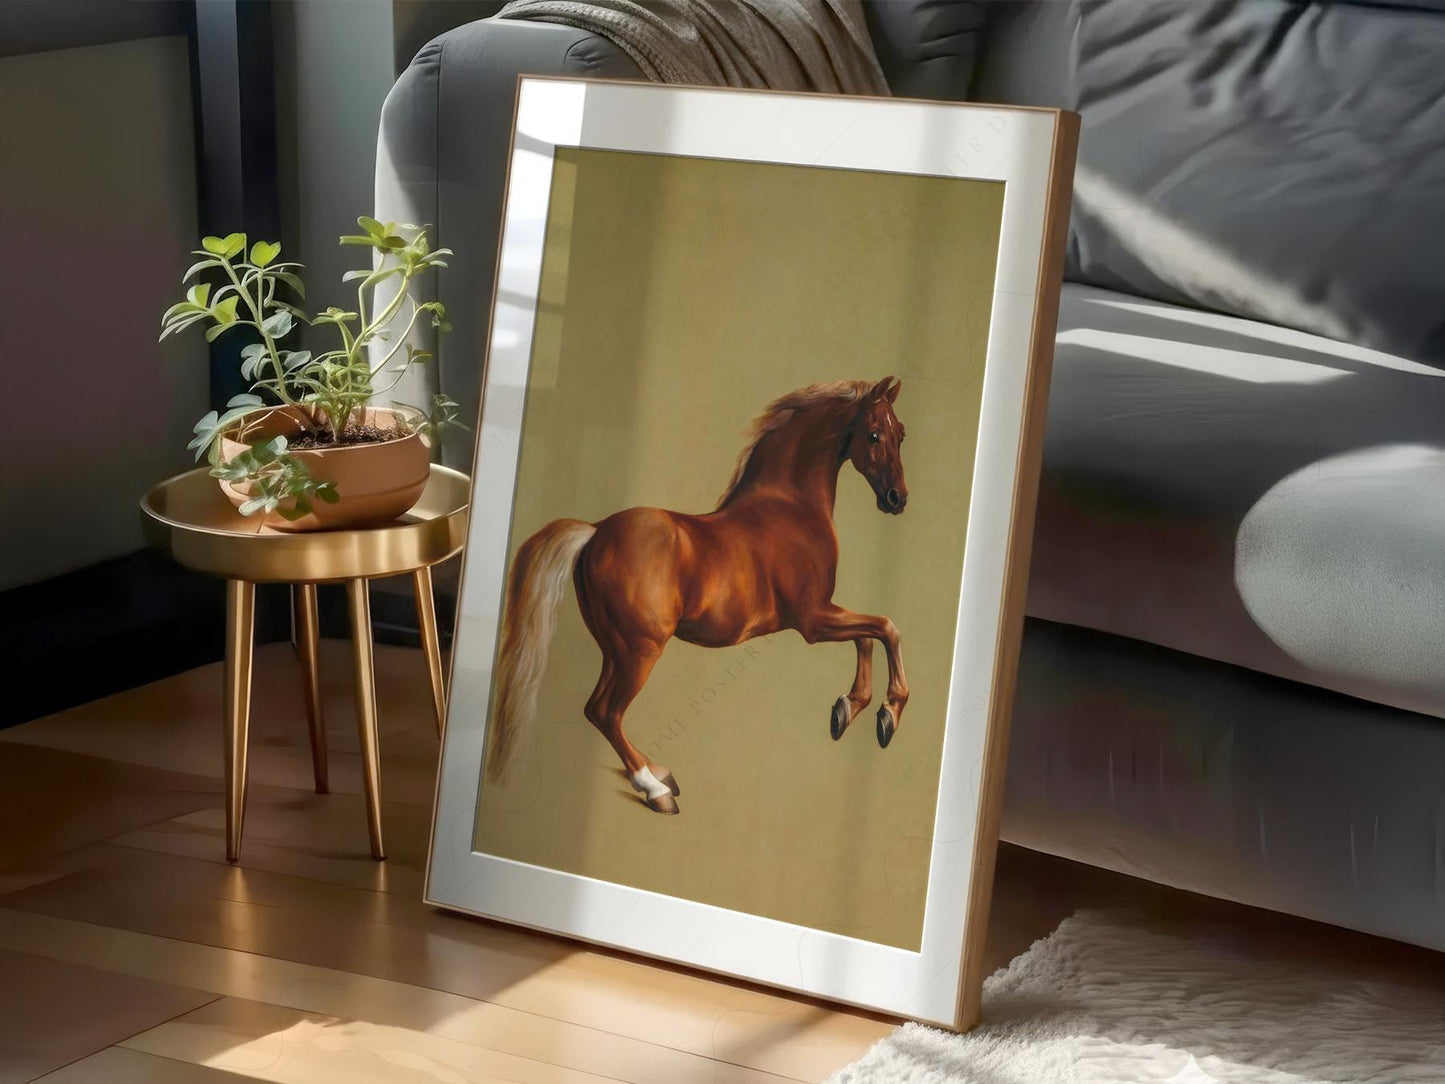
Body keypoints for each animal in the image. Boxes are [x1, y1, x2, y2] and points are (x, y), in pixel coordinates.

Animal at [485, 376, 910, 814]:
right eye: (873, 435)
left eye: (901, 434)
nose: (897, 499)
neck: (790, 508)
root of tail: (596, 531)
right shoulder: (813, 619)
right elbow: (886, 628)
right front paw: (886, 714)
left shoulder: (824, 615)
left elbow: (869, 636)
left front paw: (847, 709)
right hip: (641, 651)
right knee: (605, 712)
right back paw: (656, 790)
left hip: (615, 650)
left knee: (598, 709)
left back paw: (660, 774)